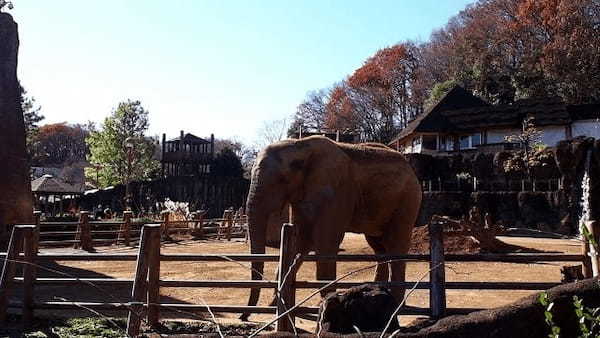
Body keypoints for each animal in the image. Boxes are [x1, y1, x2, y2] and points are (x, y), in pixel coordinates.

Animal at [240, 135, 422, 320]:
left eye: (281, 180)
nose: (243, 317)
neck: (300, 146)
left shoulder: (337, 191)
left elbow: (325, 244)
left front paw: (329, 307)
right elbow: (300, 241)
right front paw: (275, 304)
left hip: (408, 201)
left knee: (396, 244)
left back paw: (396, 305)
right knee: (379, 247)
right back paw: (381, 298)